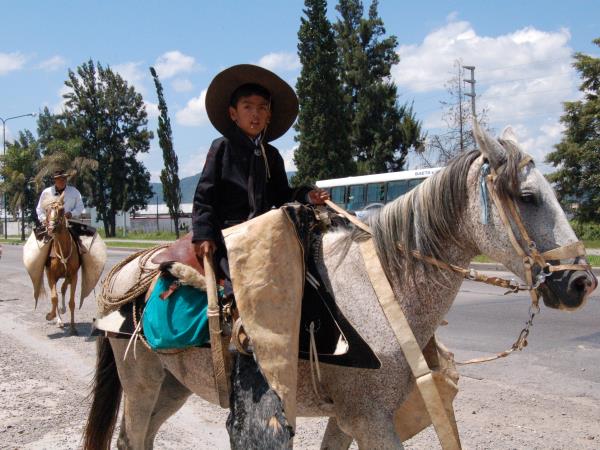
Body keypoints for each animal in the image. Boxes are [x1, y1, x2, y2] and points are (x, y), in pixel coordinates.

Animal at [43, 192, 81, 334]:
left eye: (62, 210)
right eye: (47, 210)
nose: (51, 228)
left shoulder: (74, 275)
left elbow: (72, 302)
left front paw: (73, 327)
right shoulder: (51, 275)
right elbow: (54, 298)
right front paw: (52, 316)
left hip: (67, 276)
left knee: (64, 288)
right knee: (57, 294)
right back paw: (58, 318)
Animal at [83, 124, 596, 450]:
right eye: (528, 197)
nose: (580, 282)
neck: (380, 291)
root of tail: (128, 268)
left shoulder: (350, 417)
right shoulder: (369, 418)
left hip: (173, 385)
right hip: (142, 380)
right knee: (132, 438)